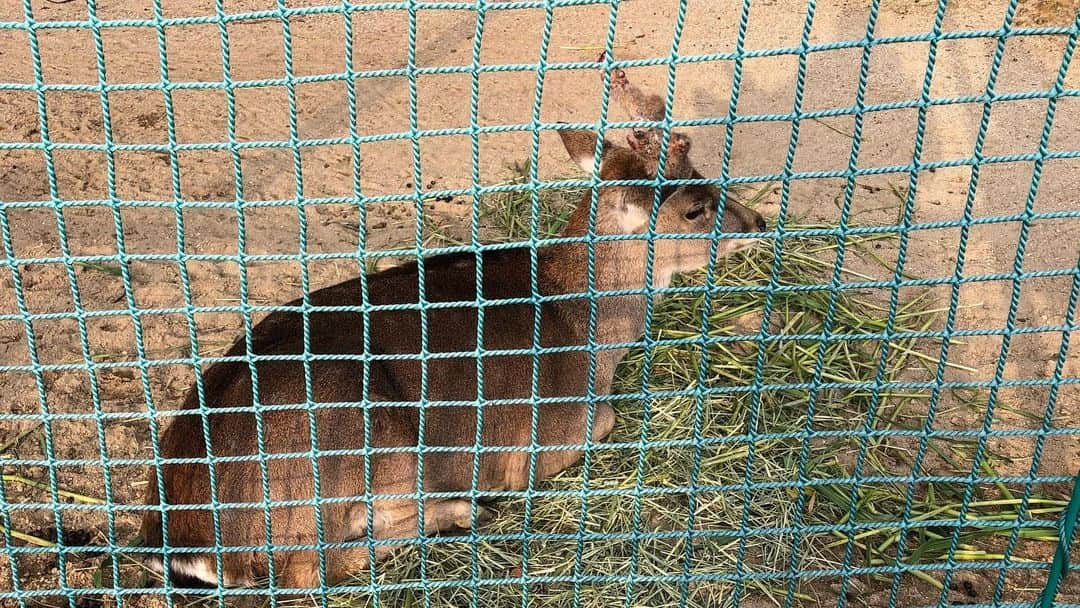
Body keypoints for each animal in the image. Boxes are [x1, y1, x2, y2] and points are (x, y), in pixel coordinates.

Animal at [139, 60, 768, 596]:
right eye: (694, 207)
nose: (760, 221)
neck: (582, 325)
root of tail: (183, 539)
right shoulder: (552, 431)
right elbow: (600, 424)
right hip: (360, 444)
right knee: (310, 565)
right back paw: (466, 509)